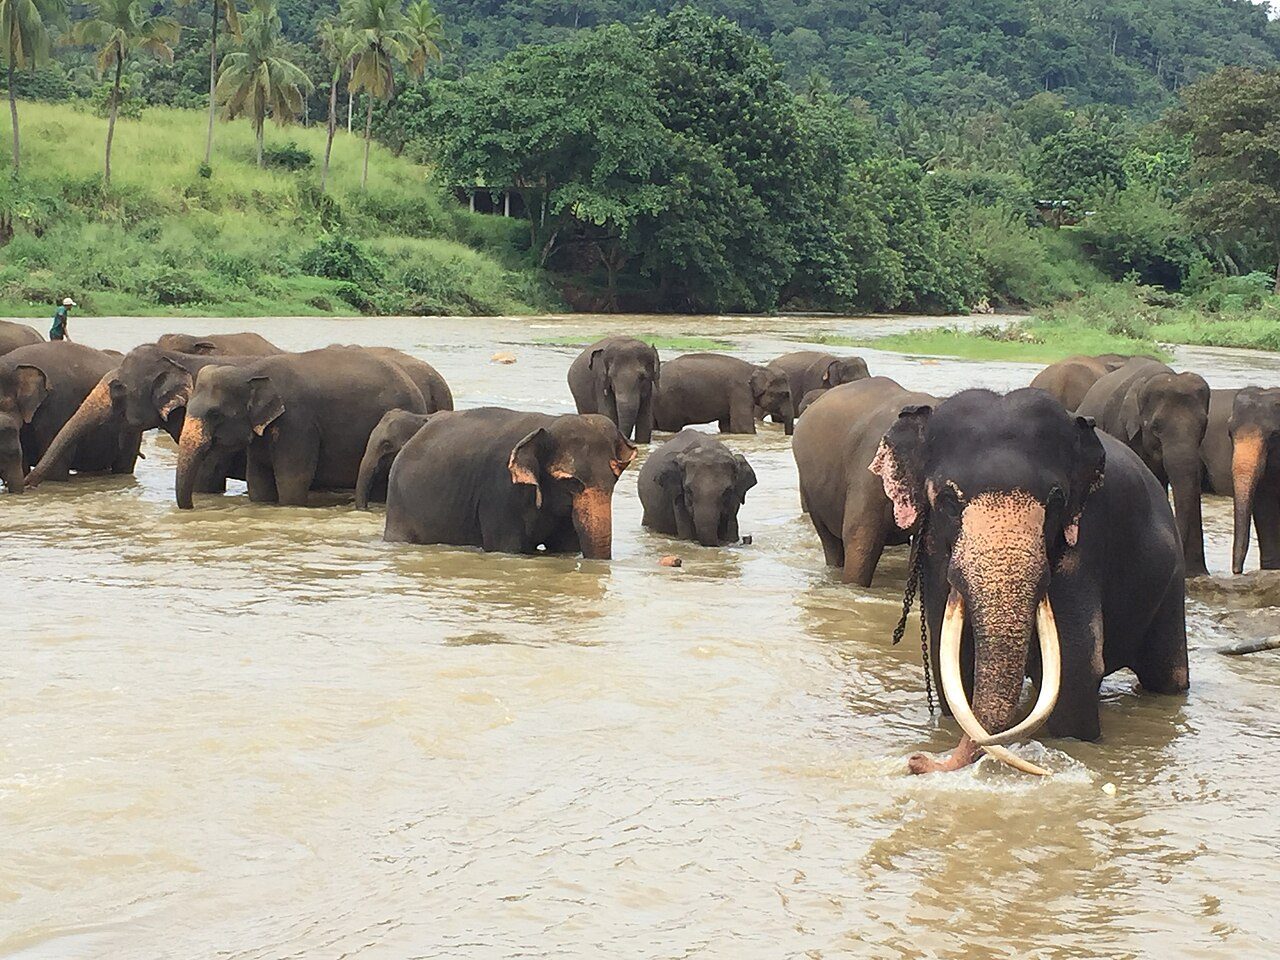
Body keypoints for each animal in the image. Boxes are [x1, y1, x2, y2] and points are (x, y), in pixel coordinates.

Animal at [176, 346, 428, 508]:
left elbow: (292, 481)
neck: (251, 371)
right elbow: (258, 482)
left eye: (215, 414)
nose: (193, 507)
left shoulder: (297, 422)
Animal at [653, 354, 793, 435]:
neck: (755, 368)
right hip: (668, 403)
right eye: (784, 394)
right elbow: (742, 427)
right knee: (670, 427)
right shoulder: (740, 391)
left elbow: (726, 425)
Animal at [869, 388, 1188, 776]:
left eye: (1056, 500)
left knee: (1168, 675)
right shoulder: (932, 553)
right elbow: (955, 665)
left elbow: (1077, 665)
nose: (917, 761)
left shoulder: (1083, 544)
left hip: (1171, 585)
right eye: (947, 500)